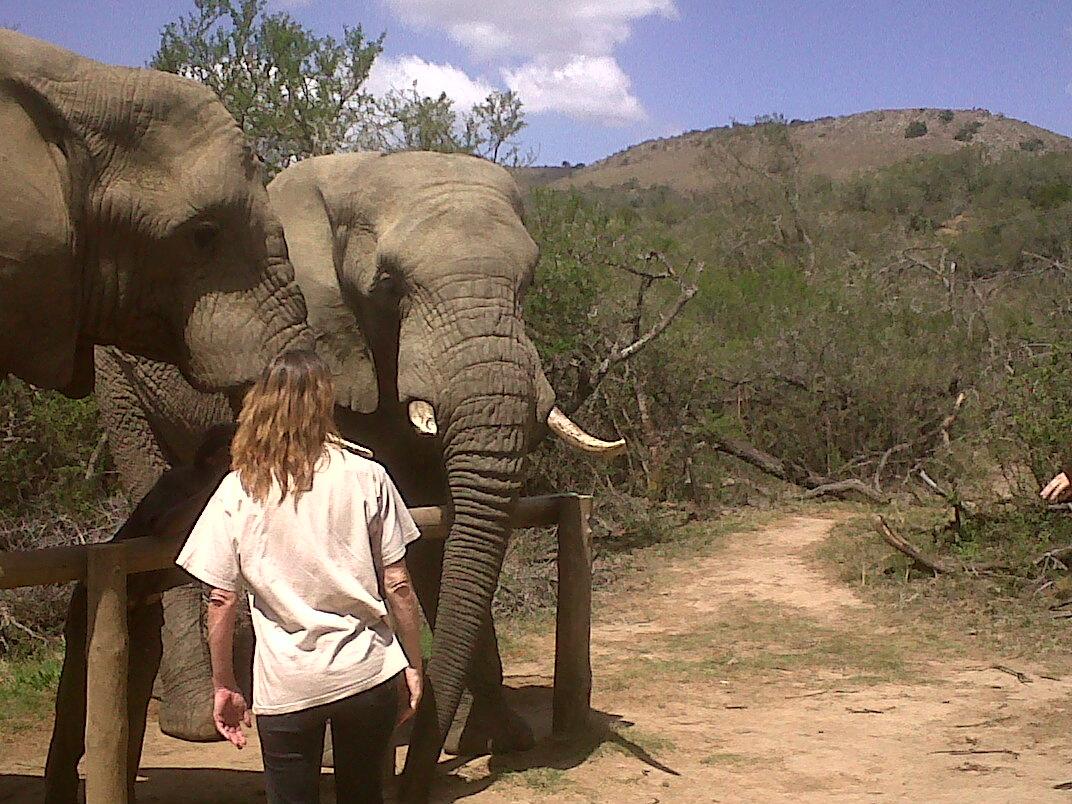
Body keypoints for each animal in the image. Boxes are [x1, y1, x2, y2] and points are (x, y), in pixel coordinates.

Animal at [80, 151, 623, 801]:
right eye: (388, 285)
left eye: (530, 283)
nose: (415, 783)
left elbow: (440, 523)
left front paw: (497, 742)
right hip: (117, 378)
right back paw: (197, 723)